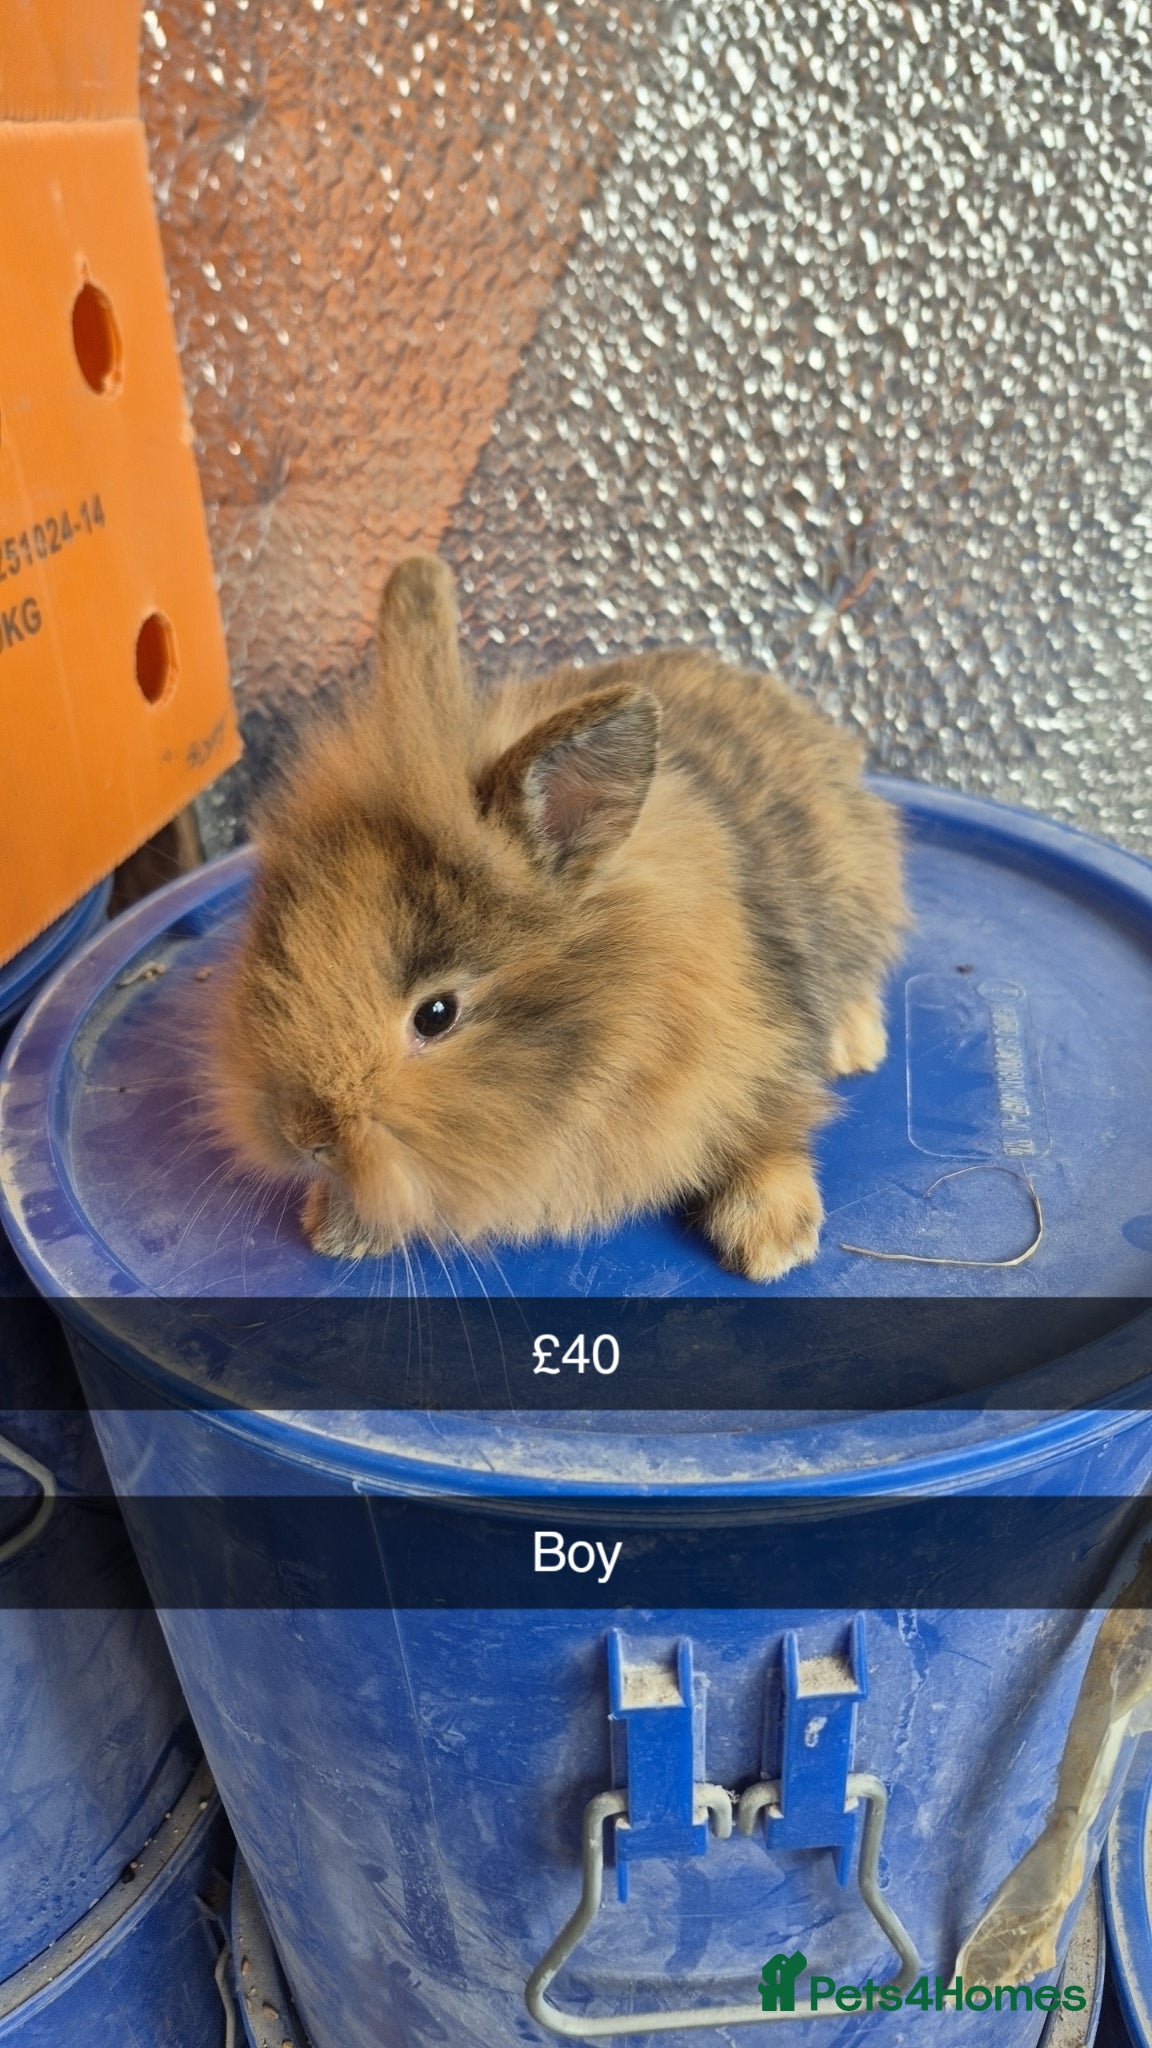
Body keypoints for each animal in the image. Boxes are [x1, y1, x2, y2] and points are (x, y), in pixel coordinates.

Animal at [210, 554, 906, 1282]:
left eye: (436, 1015)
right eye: (276, 944)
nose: (301, 1133)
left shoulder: (766, 1058)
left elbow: (773, 1132)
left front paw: (771, 1242)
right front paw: (337, 1227)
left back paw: (857, 1046)